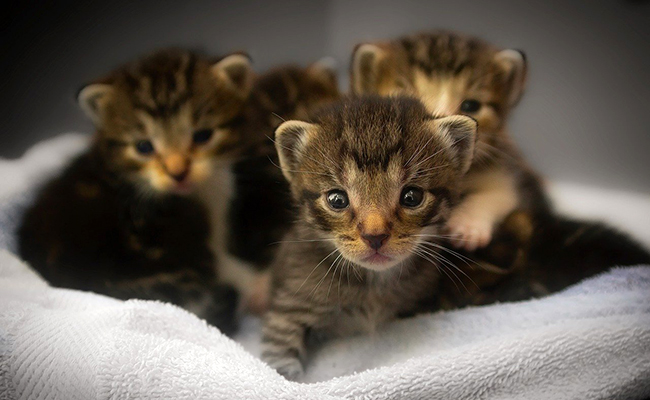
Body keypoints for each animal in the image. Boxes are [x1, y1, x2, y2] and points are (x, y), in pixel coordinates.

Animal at [258, 96, 476, 378]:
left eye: (412, 197)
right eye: (337, 199)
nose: (375, 236)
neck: (374, 285)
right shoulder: (290, 307)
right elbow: (279, 358)